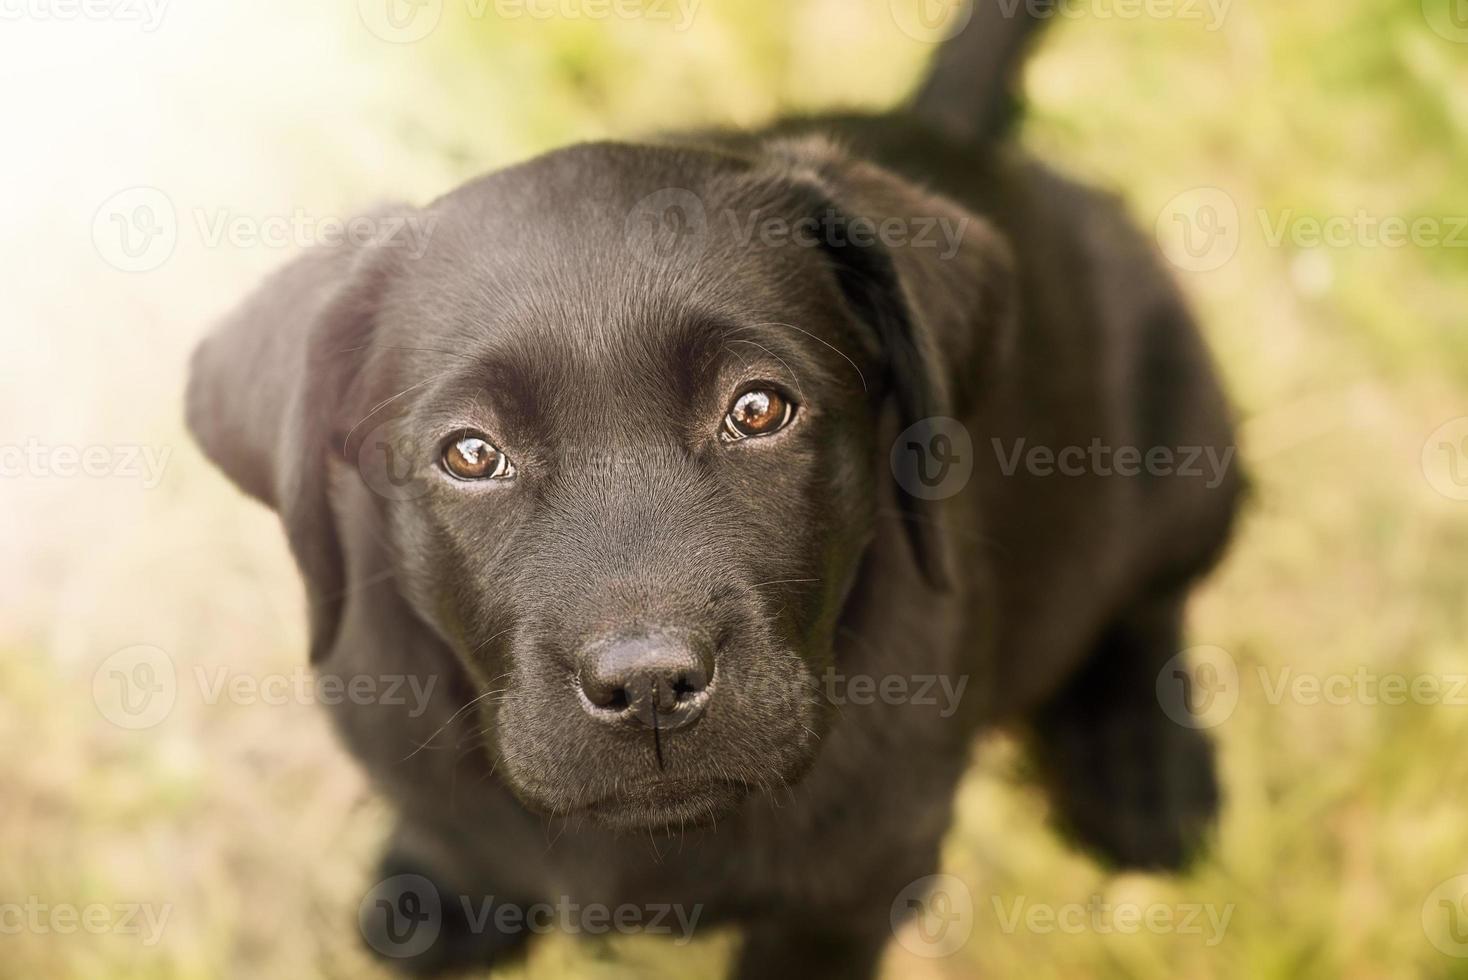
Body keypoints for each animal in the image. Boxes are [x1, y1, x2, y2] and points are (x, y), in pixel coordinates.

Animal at [183, 9, 1238, 979]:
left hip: (1188, 436)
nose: (649, 685)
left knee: (1155, 592)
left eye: (759, 408)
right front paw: (438, 895)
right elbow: (459, 837)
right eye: (471, 454)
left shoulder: (854, 890)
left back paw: (1143, 766)